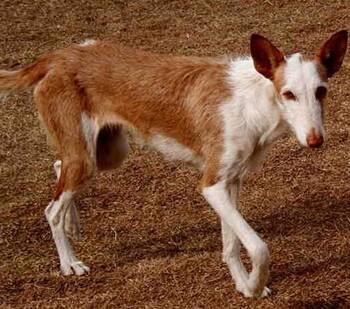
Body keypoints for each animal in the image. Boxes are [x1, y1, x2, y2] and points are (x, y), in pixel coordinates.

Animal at [0, 30, 348, 296]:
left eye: (321, 91)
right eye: (288, 94)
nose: (316, 140)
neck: (254, 102)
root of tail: (59, 56)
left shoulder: (229, 183)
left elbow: (231, 245)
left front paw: (242, 285)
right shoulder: (212, 185)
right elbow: (259, 248)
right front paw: (252, 284)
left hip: (105, 153)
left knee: (59, 168)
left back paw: (72, 222)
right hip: (87, 159)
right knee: (51, 209)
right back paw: (69, 262)